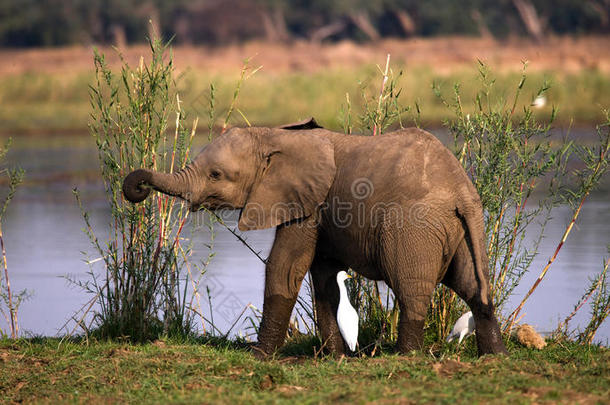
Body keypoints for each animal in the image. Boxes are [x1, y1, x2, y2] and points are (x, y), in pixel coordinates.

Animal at [122, 117, 504, 356]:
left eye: (216, 174)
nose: (138, 187)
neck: (274, 136)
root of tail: (461, 190)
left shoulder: (306, 204)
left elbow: (285, 267)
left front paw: (259, 356)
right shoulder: (321, 211)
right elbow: (323, 280)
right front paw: (334, 357)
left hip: (415, 227)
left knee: (411, 288)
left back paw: (406, 357)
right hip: (460, 230)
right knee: (473, 286)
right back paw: (493, 356)